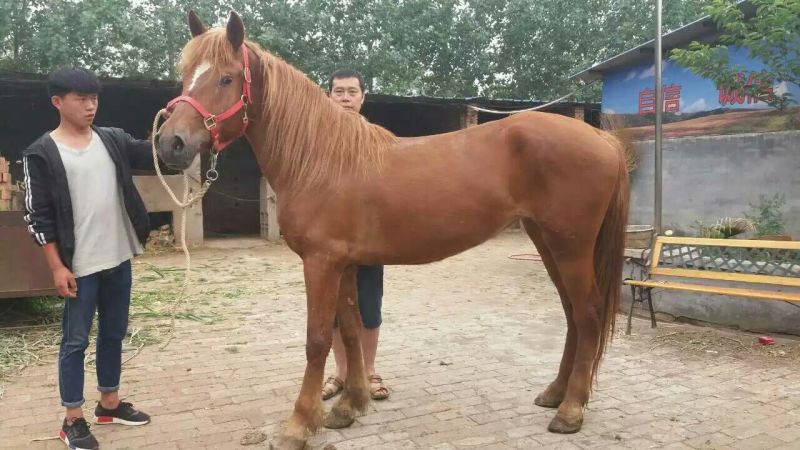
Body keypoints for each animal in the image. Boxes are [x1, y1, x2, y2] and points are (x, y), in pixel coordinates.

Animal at [155, 11, 630, 450]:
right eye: (186, 74)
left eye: (226, 77)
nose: (169, 143)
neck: (322, 160)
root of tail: (604, 140)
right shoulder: (343, 264)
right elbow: (349, 329)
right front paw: (349, 406)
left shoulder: (320, 263)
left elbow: (317, 339)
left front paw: (298, 426)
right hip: (548, 242)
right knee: (571, 313)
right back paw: (556, 394)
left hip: (570, 246)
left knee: (587, 313)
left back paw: (571, 410)